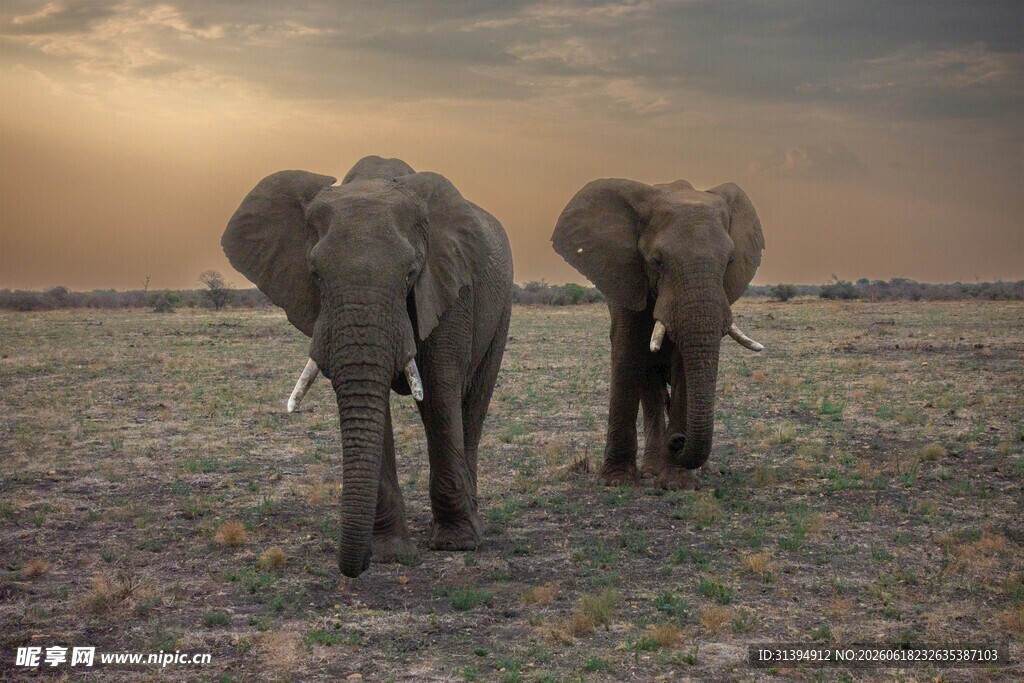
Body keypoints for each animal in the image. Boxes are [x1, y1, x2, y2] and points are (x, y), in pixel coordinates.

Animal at [222, 156, 513, 577]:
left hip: (501, 305)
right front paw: (390, 552)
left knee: (472, 404)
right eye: (314, 273)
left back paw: (472, 525)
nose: (354, 565)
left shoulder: (448, 287)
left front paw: (456, 545)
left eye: (411, 272)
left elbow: (439, 395)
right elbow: (374, 407)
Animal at [552, 178, 765, 489]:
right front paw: (616, 481)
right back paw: (652, 470)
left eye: (729, 262)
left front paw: (677, 483)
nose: (678, 440)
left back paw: (702, 472)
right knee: (650, 387)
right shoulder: (626, 278)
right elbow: (627, 352)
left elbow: (684, 364)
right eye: (657, 261)